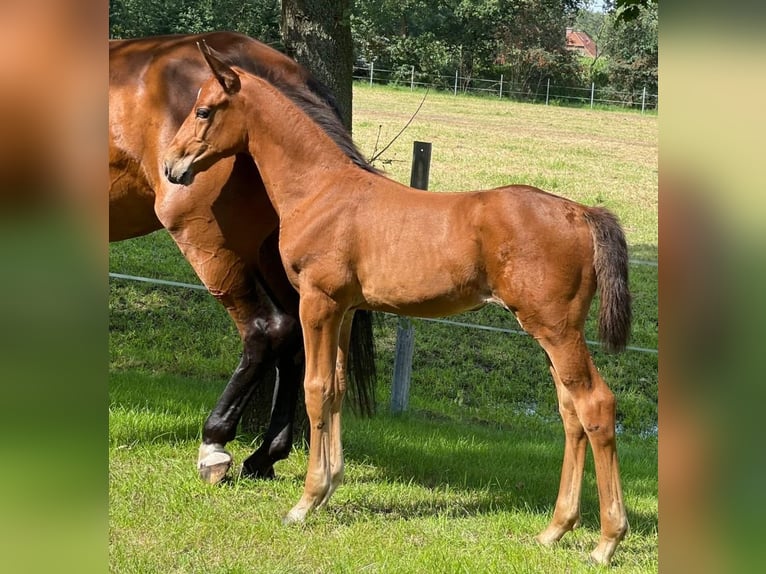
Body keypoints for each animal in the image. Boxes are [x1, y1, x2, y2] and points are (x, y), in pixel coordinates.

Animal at [109, 32, 380, 486]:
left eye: (203, 112)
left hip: (212, 245)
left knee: (266, 330)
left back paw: (215, 446)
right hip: (275, 258)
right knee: (296, 339)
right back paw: (266, 454)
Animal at [164, 45, 632, 568]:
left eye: (204, 111)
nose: (172, 167)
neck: (321, 190)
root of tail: (582, 213)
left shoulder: (317, 303)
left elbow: (314, 388)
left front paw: (305, 502)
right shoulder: (345, 310)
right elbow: (337, 388)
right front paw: (329, 487)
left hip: (556, 329)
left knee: (595, 405)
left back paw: (606, 542)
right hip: (549, 332)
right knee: (570, 412)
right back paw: (554, 530)